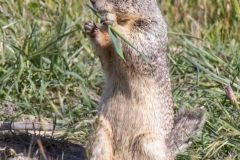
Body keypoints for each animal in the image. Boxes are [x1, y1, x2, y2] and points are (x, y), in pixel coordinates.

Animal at [83, 0, 205, 159]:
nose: (92, 2)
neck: (126, 19)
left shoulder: (150, 29)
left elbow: (137, 41)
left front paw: (111, 22)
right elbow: (106, 57)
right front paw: (91, 28)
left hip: (147, 142)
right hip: (100, 128)